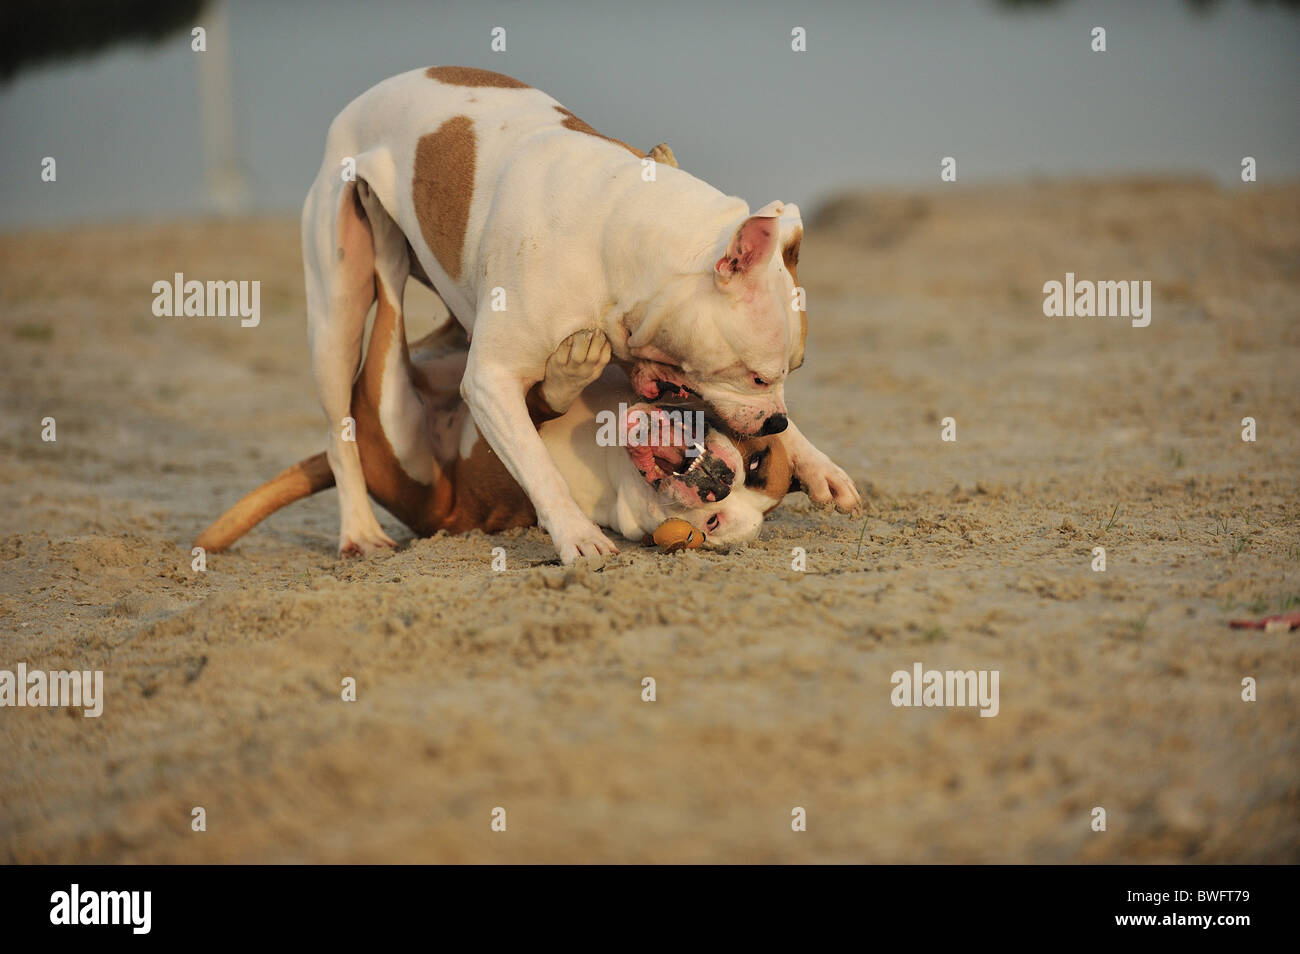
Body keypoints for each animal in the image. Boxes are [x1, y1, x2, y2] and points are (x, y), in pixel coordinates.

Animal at [299, 67, 857, 564]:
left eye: (793, 370)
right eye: (759, 375)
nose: (776, 418)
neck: (617, 242)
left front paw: (816, 465)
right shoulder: (490, 381)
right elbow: (538, 465)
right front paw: (577, 536)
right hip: (337, 317)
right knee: (340, 428)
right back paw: (360, 530)